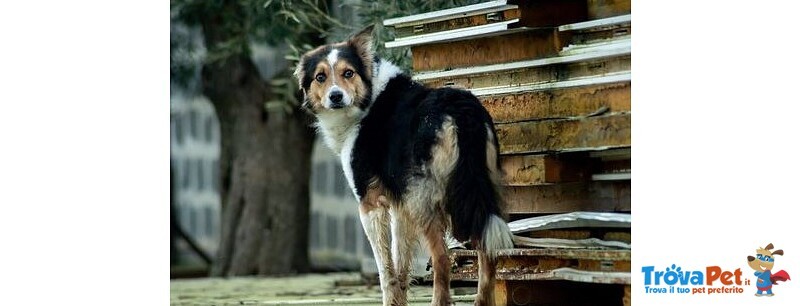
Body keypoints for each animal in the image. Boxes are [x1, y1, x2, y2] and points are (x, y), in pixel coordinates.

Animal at [294, 25, 512, 304]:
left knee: (442, 258)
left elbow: (385, 272)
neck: (367, 99)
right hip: (477, 191)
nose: (335, 96)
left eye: (348, 73)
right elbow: (400, 267)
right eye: (320, 77)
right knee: (487, 253)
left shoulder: (371, 203)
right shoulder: (400, 205)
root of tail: (460, 109)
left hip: (425, 200)